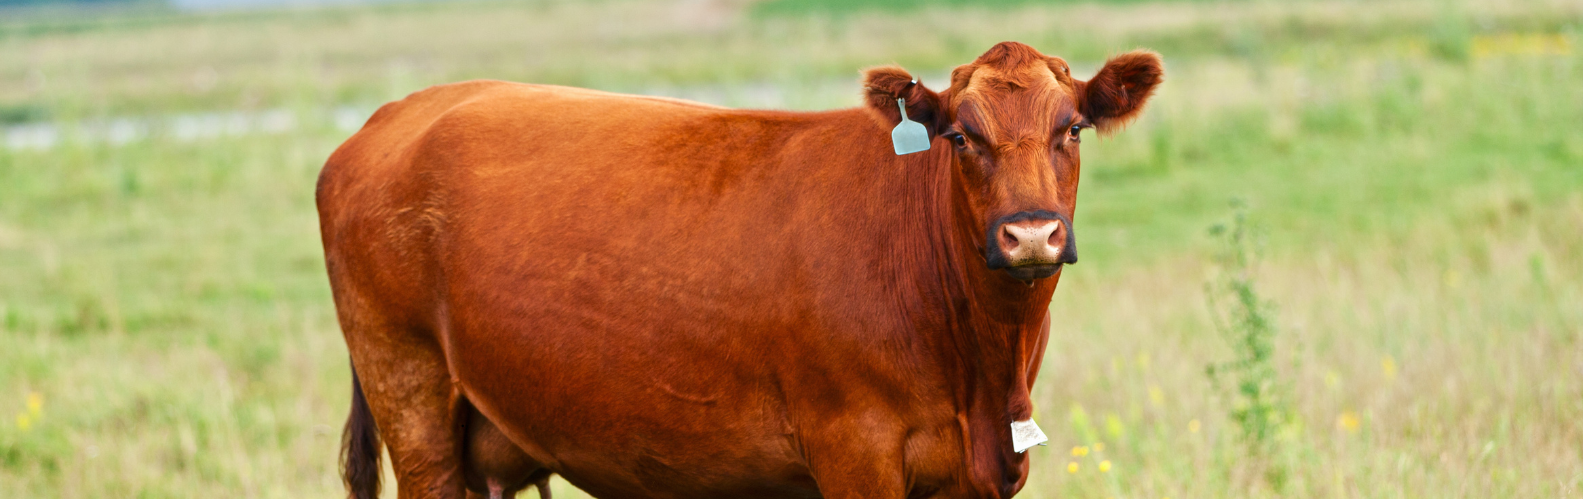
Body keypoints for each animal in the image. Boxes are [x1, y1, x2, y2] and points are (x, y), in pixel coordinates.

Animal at [317, 41, 1162, 499]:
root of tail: (397, 112)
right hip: (410, 394)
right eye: (959, 136)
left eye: (1072, 127)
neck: (982, 365)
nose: (1030, 234)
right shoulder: (854, 449)